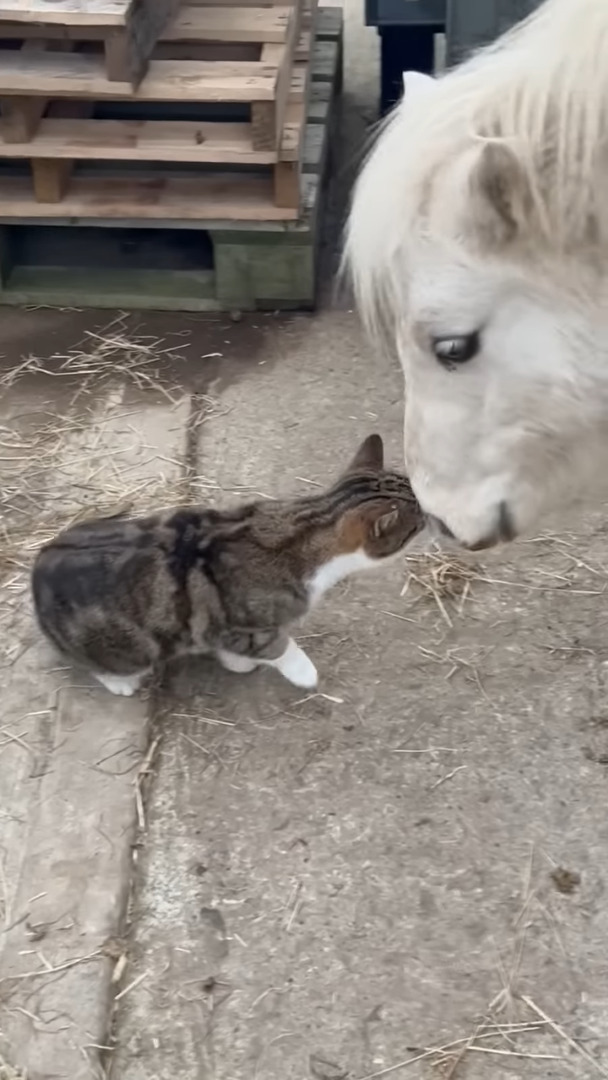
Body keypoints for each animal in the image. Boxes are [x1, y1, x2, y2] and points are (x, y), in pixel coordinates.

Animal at [32, 434, 423, 695]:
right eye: (418, 523)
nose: (434, 518)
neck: (305, 525)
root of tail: (40, 559)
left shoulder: (216, 626)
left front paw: (236, 662)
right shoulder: (248, 623)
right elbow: (279, 647)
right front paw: (303, 673)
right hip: (125, 648)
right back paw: (119, 683)